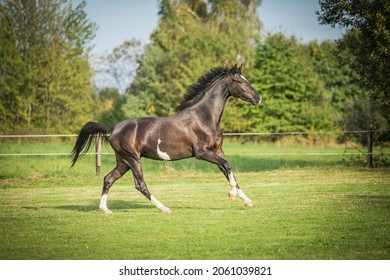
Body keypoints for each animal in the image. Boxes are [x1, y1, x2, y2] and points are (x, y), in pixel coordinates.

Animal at [72, 64, 264, 213]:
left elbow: (228, 171)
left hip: (123, 162)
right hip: (132, 159)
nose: (258, 98)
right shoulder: (202, 153)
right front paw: (232, 195)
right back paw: (164, 208)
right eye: (239, 81)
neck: (204, 117)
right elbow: (227, 166)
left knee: (108, 179)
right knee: (140, 185)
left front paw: (247, 200)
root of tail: (115, 128)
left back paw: (105, 209)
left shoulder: (217, 150)